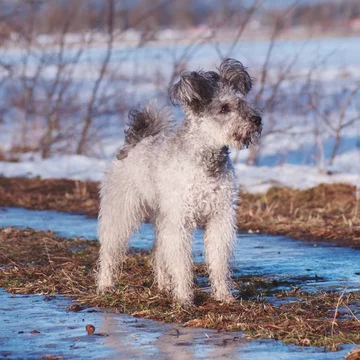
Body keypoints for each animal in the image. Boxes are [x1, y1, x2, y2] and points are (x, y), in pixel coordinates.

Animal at [97, 58, 262, 304]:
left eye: (243, 101)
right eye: (224, 108)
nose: (257, 119)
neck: (206, 161)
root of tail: (133, 143)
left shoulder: (219, 218)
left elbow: (218, 261)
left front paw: (223, 295)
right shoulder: (180, 221)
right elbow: (182, 263)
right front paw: (184, 298)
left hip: (162, 217)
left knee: (158, 252)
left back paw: (164, 285)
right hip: (122, 212)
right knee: (110, 250)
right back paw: (105, 285)